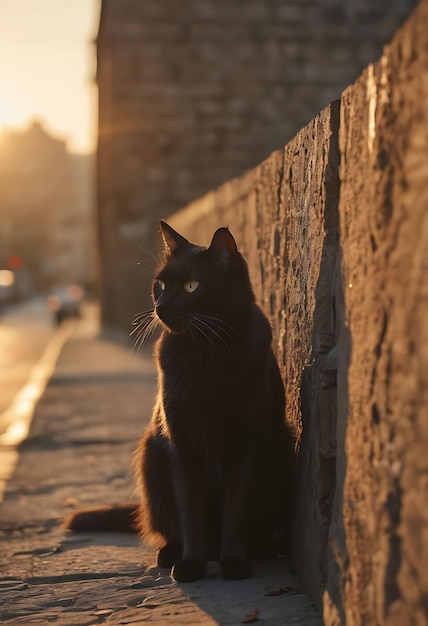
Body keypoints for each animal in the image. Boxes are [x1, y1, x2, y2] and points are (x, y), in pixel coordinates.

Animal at [66, 223, 294, 580]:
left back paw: (261, 549)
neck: (205, 350)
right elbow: (190, 511)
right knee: (168, 526)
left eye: (190, 287)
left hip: (281, 448)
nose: (160, 306)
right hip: (152, 456)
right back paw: (172, 553)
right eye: (160, 285)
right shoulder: (180, 445)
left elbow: (235, 511)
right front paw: (190, 565)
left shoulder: (246, 445)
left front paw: (234, 563)